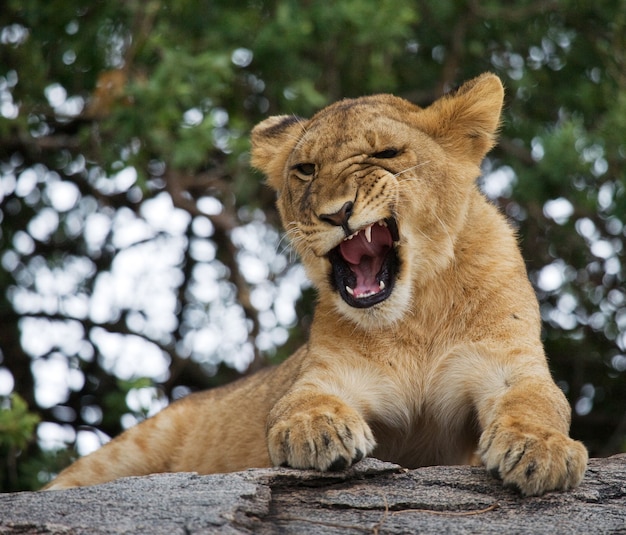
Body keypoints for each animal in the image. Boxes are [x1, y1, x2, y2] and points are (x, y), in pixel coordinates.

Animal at [44, 73, 584, 496]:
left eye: (386, 153)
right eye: (306, 170)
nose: (336, 213)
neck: (415, 315)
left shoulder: (509, 363)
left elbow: (537, 401)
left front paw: (540, 451)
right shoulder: (326, 373)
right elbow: (301, 402)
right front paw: (317, 432)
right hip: (130, 448)